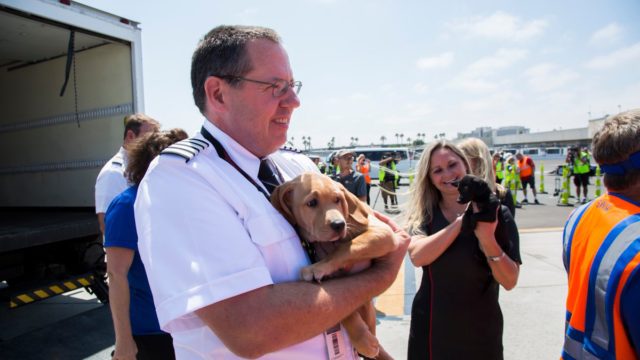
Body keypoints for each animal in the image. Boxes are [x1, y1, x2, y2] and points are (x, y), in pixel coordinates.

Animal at [270, 173, 396, 358]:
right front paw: (362, 340)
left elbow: (347, 247)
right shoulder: (333, 283)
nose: (339, 224)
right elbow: (347, 313)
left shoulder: (382, 233)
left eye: (338, 199)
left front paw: (316, 267)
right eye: (312, 203)